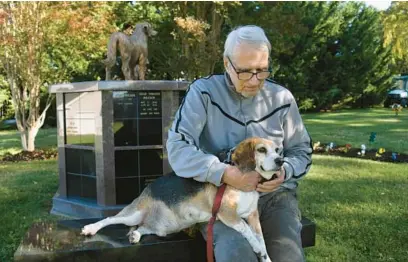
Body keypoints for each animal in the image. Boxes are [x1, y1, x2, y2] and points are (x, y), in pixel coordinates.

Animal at [81, 137, 282, 262]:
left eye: (277, 150)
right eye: (261, 150)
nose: (281, 161)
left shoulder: (253, 216)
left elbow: (262, 240)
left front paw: (265, 256)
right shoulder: (227, 213)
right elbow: (248, 232)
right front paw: (256, 247)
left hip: (162, 228)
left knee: (144, 228)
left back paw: (135, 235)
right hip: (133, 214)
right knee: (110, 219)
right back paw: (91, 228)